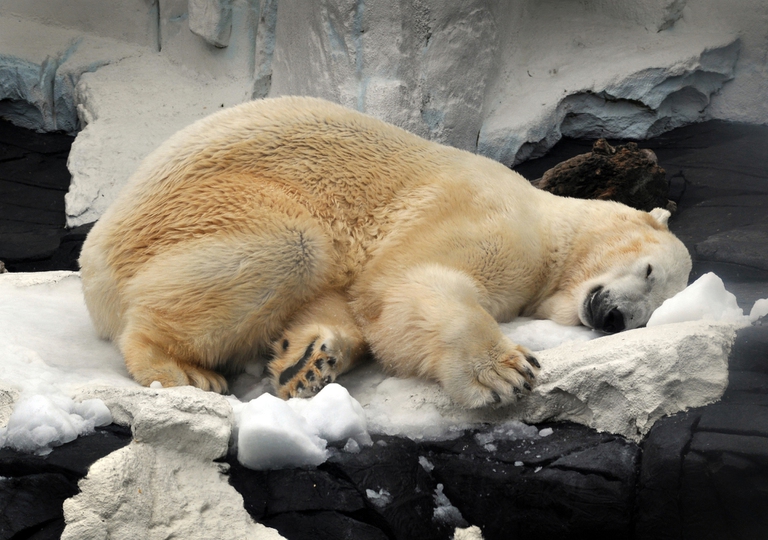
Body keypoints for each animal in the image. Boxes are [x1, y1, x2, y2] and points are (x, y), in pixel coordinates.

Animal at [79, 96, 692, 409]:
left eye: (651, 314)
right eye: (649, 270)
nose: (615, 316)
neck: (551, 226)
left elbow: (364, 306)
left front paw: (307, 359)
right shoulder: (482, 217)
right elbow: (408, 283)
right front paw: (506, 371)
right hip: (202, 210)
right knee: (291, 246)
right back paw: (182, 368)